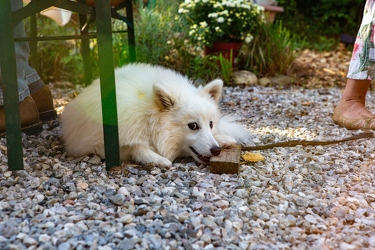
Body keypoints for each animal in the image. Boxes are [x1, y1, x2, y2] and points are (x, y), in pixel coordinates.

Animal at [61, 63, 253, 167]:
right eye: (193, 126)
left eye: (211, 124)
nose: (216, 150)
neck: (148, 116)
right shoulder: (101, 143)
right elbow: (134, 146)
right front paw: (156, 158)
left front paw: (223, 138)